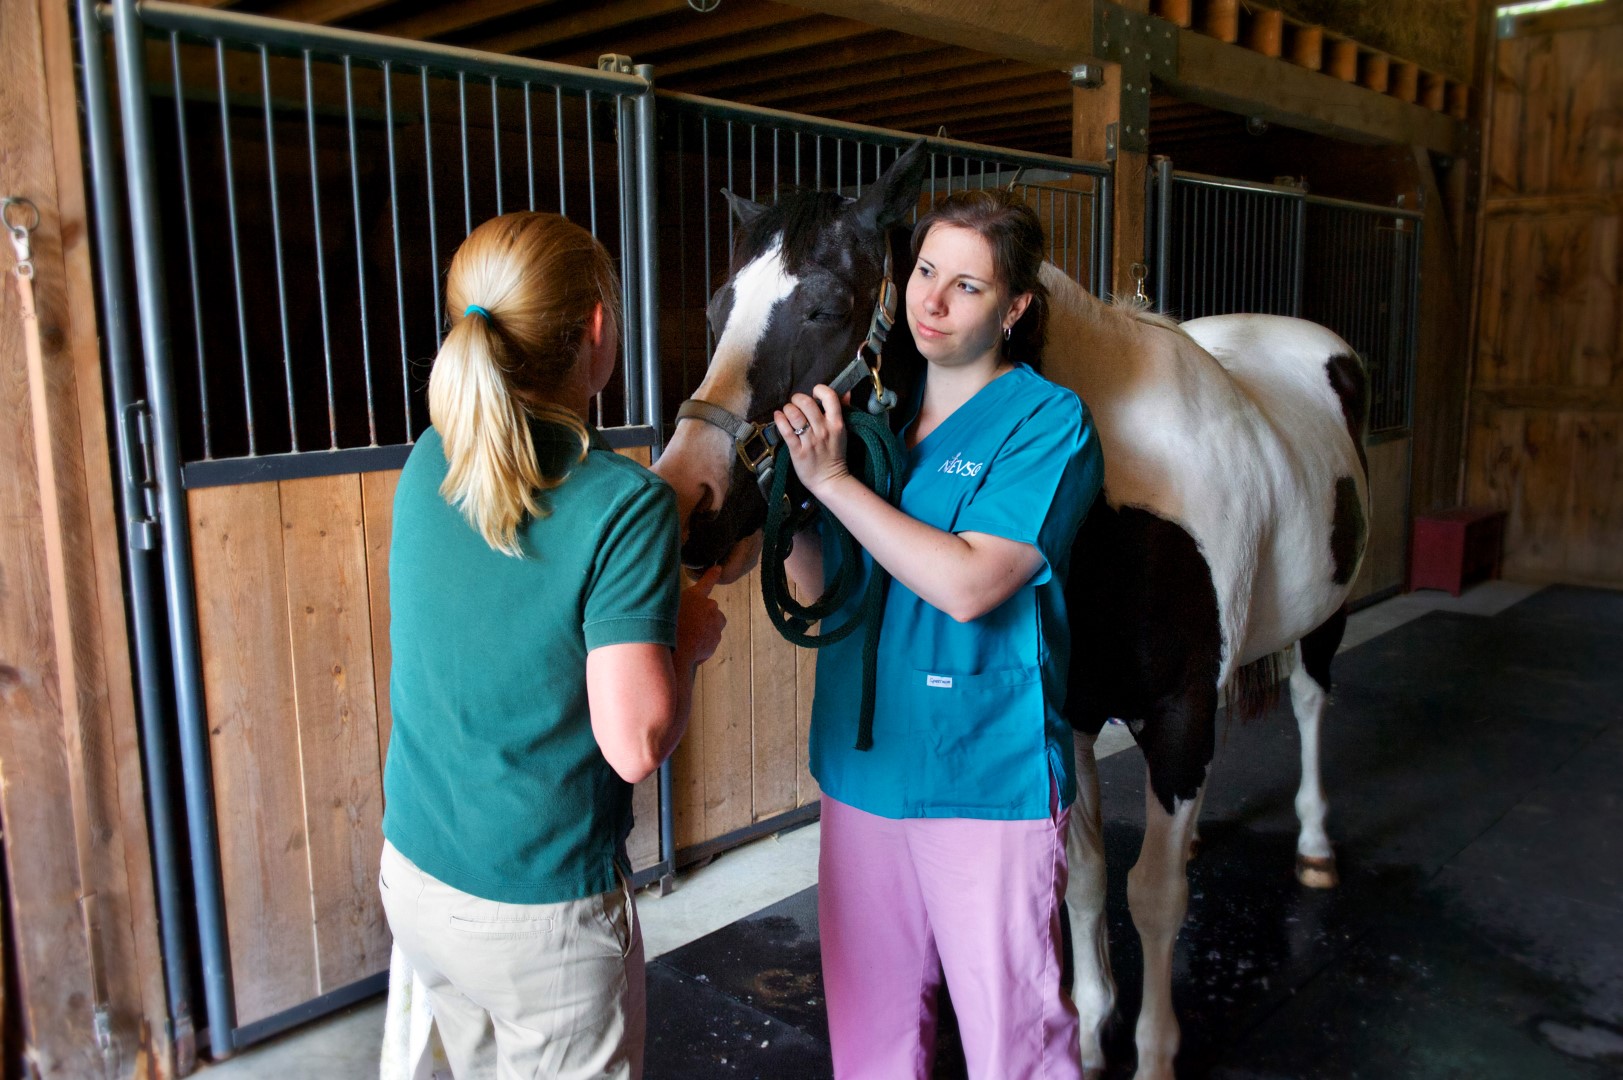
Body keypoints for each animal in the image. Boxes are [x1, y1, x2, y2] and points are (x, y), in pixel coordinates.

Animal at [651, 140, 1369, 1080]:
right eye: (715, 308)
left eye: (826, 307)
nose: (687, 499)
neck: (1121, 494)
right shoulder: (1071, 710)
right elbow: (1087, 879)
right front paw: (1092, 1035)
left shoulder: (1175, 708)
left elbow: (1154, 894)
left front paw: (1151, 1052)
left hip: (1325, 617)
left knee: (1314, 701)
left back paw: (1316, 848)